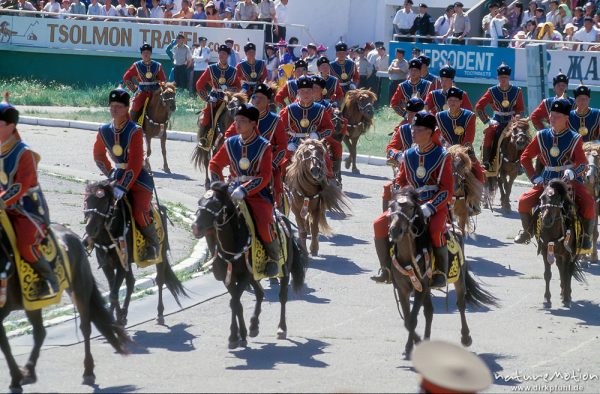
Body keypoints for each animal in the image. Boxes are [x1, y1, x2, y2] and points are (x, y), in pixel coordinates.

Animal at [0, 223, 130, 392]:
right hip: (33, 303)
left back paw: (88, 371)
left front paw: (16, 379)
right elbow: (5, 346)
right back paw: (29, 371)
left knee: (85, 327)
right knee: (40, 332)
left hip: (78, 288)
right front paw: (16, 379)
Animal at [82, 180, 185, 324]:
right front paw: (119, 317)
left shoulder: (121, 265)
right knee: (131, 282)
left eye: (104, 202)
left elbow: (113, 294)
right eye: (86, 200)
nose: (90, 228)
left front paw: (113, 321)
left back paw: (160, 314)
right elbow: (113, 290)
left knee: (160, 279)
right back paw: (124, 314)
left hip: (161, 255)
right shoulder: (107, 265)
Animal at [191, 182, 308, 348]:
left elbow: (234, 302)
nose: (195, 227)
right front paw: (241, 334)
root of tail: (283, 218)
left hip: (284, 270)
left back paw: (281, 328)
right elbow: (237, 303)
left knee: (282, 297)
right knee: (260, 293)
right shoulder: (229, 279)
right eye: (199, 202)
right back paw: (253, 326)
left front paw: (234, 336)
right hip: (254, 276)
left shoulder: (244, 277)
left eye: (216, 204)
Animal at [386, 187, 500, 358]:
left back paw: (466, 337)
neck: (408, 257)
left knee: (461, 304)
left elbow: (412, 320)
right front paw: (410, 346)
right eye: (390, 206)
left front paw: (414, 345)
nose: (394, 231)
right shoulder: (403, 289)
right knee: (429, 312)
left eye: (411, 207)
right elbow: (408, 320)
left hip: (458, 279)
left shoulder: (420, 288)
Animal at [536, 180, 584, 310]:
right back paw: (563, 292)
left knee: (569, 270)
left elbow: (567, 273)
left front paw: (567, 298)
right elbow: (547, 274)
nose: (547, 220)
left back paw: (567, 294)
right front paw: (547, 299)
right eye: (542, 198)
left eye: (557, 198)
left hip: (573, 253)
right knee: (561, 268)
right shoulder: (545, 252)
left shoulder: (567, 254)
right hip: (557, 254)